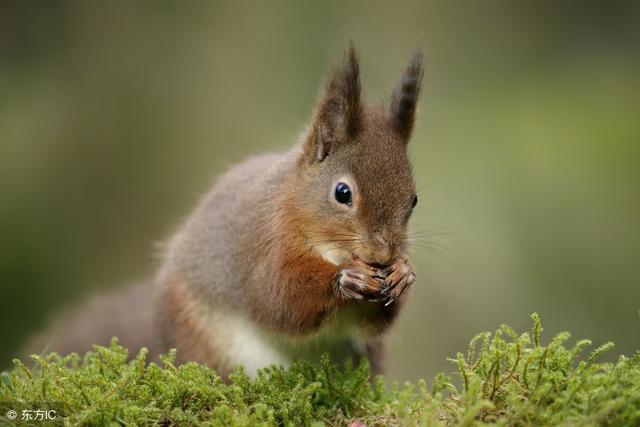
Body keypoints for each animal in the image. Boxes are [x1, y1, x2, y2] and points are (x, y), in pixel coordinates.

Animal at [23, 46, 424, 380]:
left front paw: (402, 274)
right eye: (343, 193)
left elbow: (374, 323)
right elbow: (277, 298)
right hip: (199, 337)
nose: (383, 254)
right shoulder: (264, 243)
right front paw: (346, 279)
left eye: (414, 199)